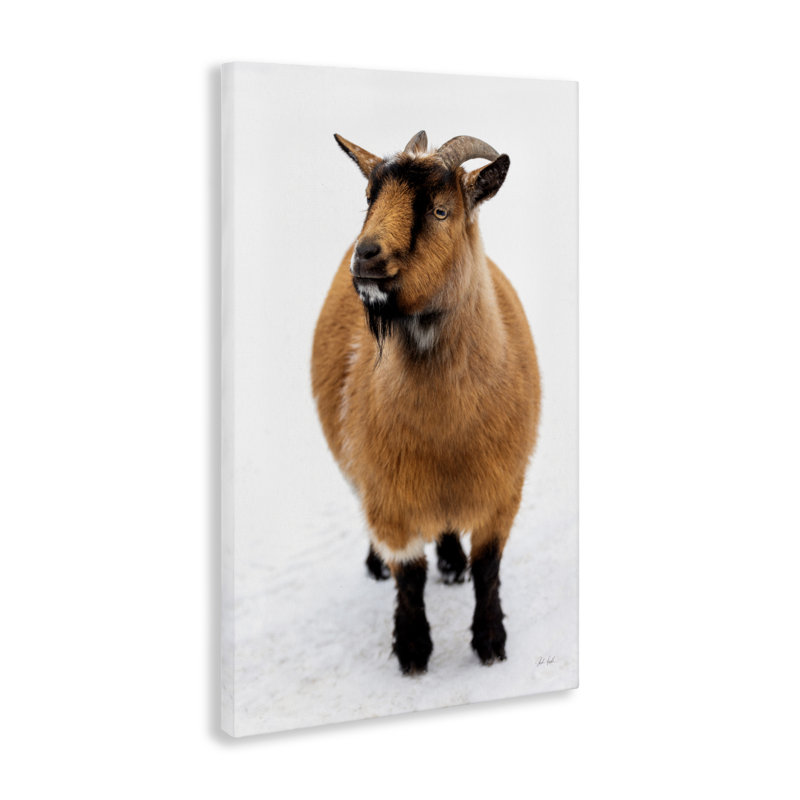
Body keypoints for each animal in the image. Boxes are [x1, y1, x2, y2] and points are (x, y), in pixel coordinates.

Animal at [311, 130, 541, 674]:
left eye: (440, 210)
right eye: (369, 198)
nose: (366, 256)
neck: (446, 433)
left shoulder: (503, 489)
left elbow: (488, 567)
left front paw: (491, 643)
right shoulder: (390, 495)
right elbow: (410, 575)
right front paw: (413, 650)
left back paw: (452, 563)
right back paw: (377, 566)